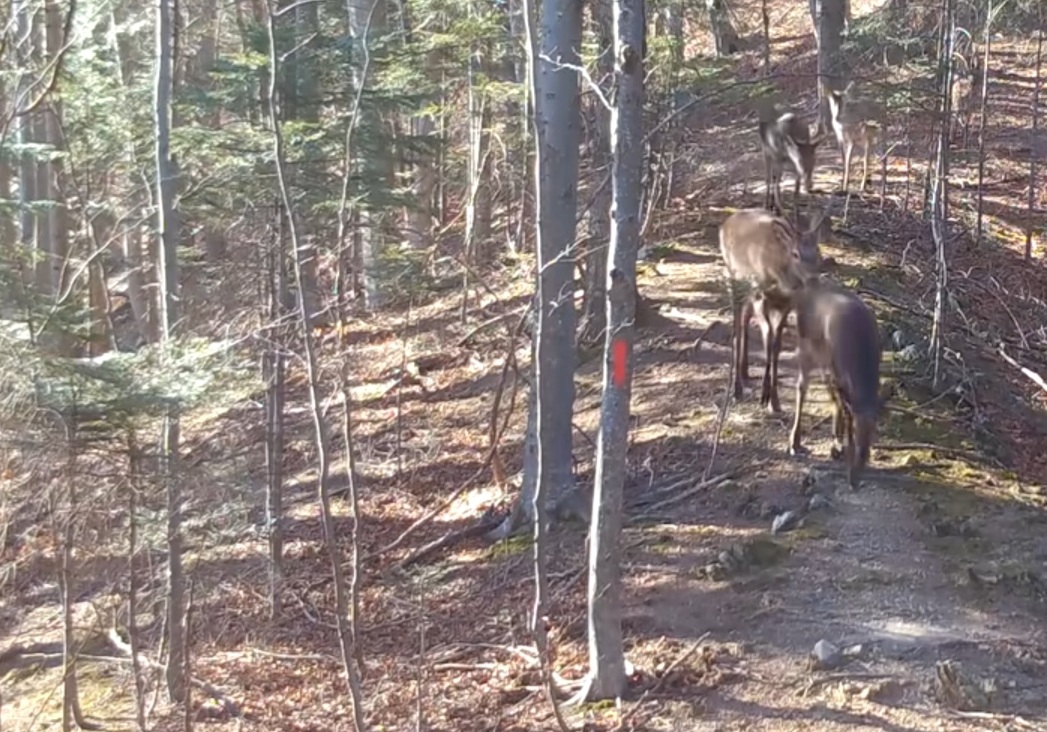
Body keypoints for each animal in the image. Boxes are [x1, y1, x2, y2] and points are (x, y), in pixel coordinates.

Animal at [720, 206, 825, 414]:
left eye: (817, 251)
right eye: (795, 253)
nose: (813, 279)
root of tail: (726, 223)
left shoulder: (787, 305)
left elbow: (776, 346)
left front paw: (774, 401)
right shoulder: (761, 297)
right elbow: (768, 340)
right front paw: (764, 397)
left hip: (748, 294)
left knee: (744, 320)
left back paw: (745, 373)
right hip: (734, 278)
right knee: (737, 328)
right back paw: (737, 389)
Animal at [787, 278, 887, 490]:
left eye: (874, 432)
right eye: (854, 431)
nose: (855, 479)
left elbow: (839, 403)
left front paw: (838, 446)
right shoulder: (836, 370)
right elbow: (841, 406)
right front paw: (841, 449)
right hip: (806, 346)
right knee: (802, 387)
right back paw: (794, 441)